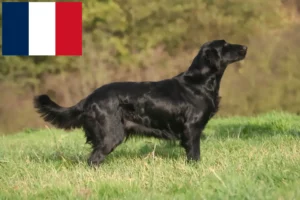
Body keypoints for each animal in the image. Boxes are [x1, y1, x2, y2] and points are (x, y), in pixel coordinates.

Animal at [34, 39, 247, 166]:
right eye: (225, 45)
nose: (245, 47)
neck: (199, 82)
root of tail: (89, 98)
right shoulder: (192, 129)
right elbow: (194, 154)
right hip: (111, 135)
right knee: (93, 160)